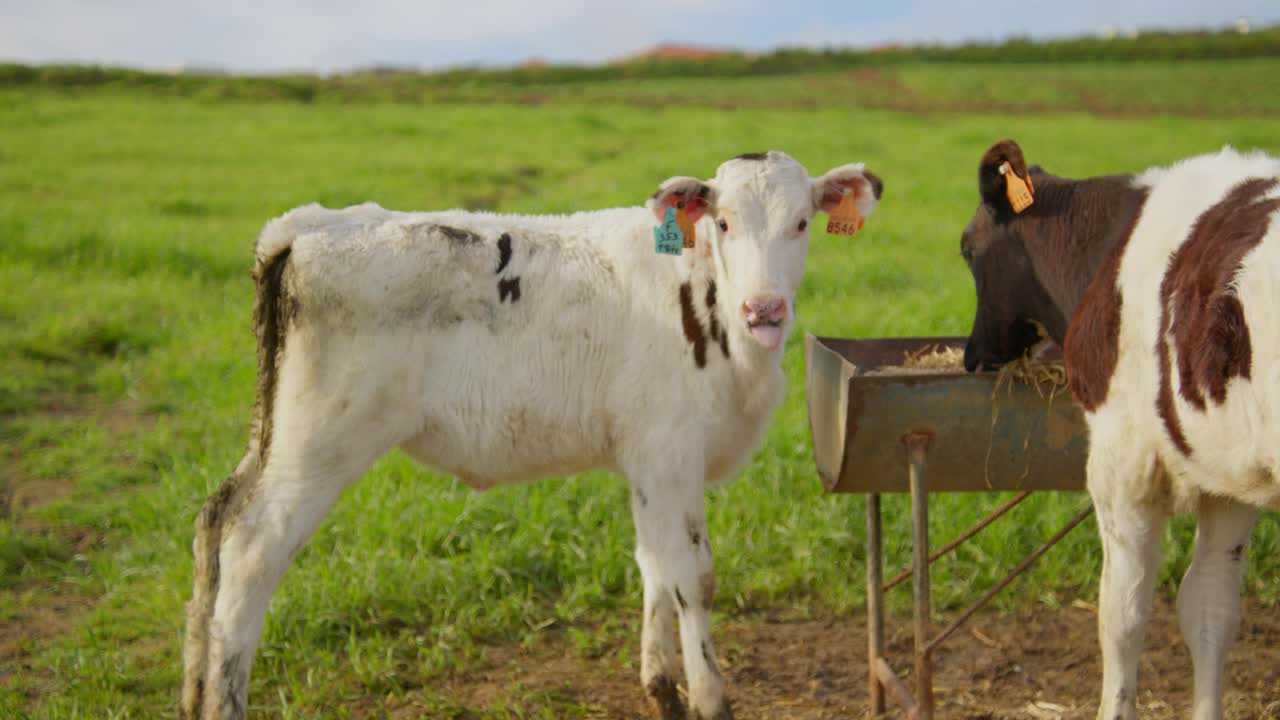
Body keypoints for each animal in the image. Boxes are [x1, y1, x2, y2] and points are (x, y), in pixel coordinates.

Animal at [177, 148, 880, 712]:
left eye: (801, 222)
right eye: (724, 222)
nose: (765, 308)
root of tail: (313, 223)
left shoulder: (647, 461)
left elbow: (653, 563)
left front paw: (661, 689)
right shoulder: (672, 452)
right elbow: (691, 577)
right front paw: (710, 698)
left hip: (275, 432)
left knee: (214, 520)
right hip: (319, 443)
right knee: (250, 550)